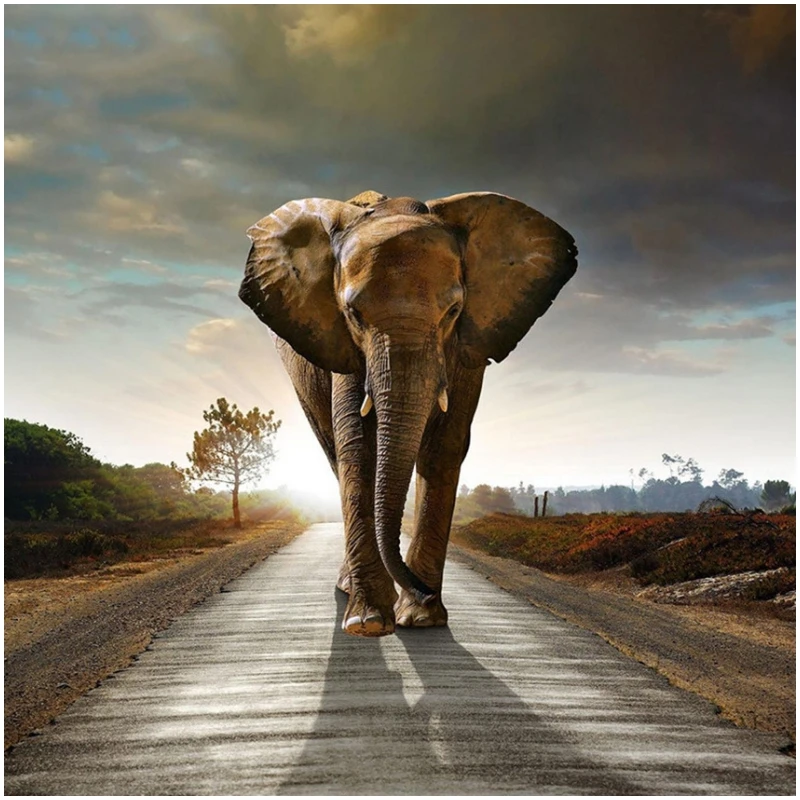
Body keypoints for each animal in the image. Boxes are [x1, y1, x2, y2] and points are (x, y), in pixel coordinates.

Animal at [239, 190, 577, 637]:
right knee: (334, 452)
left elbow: (444, 447)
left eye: (453, 311)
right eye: (353, 314)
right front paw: (369, 623)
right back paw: (350, 591)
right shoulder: (345, 348)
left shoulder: (468, 346)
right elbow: (358, 447)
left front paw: (421, 619)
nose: (423, 591)